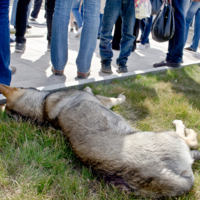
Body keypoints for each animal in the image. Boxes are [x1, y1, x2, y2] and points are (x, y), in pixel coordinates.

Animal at [0, 83, 200, 198]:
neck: (42, 108)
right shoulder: (102, 100)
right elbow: (110, 98)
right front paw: (119, 97)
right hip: (168, 136)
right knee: (190, 140)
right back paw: (182, 125)